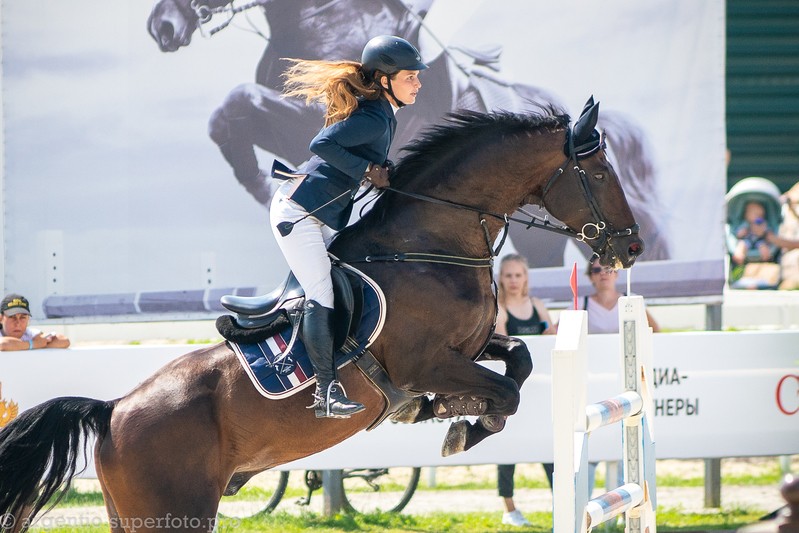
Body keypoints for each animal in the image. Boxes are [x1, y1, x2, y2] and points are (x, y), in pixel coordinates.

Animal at [0, 103, 644, 528]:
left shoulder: (470, 347)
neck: (429, 245)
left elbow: (521, 360)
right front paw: (461, 424)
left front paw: (454, 415)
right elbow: (504, 390)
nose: (632, 248)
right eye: (601, 173)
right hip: (170, 512)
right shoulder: (425, 363)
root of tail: (111, 411)